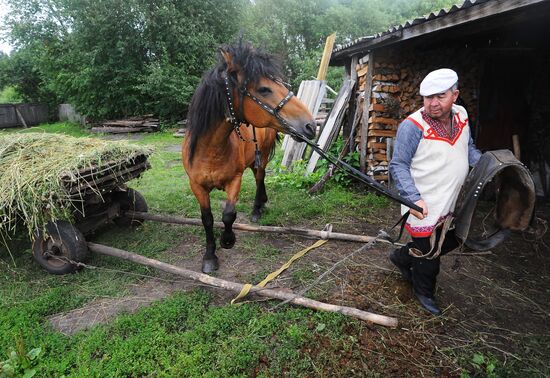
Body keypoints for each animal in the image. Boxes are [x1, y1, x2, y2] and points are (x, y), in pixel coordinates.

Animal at [184, 44, 316, 274]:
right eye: (264, 89)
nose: (311, 125)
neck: (210, 150)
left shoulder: (234, 179)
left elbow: (229, 214)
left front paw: (227, 240)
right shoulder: (196, 186)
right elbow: (207, 219)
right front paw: (209, 257)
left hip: (261, 157)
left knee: (259, 178)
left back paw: (256, 209)